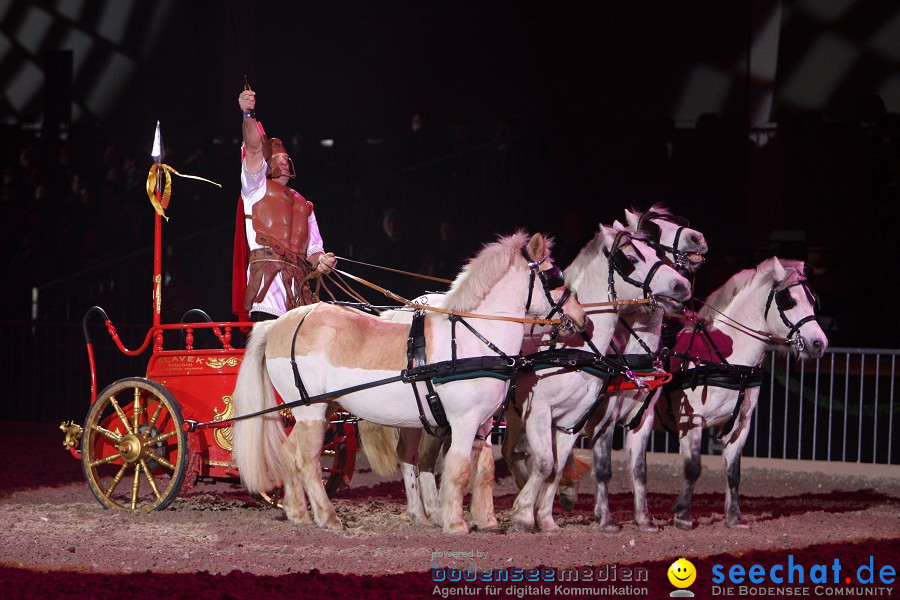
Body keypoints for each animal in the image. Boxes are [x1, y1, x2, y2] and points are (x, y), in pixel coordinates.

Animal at [229, 231, 588, 536]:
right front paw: (455, 524)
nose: (583, 319)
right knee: (307, 461)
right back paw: (328, 518)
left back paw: (298, 513)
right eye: (554, 275)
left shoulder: (484, 423)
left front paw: (486, 521)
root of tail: (281, 323)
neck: (471, 339)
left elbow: (483, 470)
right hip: (311, 410)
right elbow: (458, 469)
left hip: (318, 410)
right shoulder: (462, 421)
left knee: (289, 454)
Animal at [502, 223, 692, 532]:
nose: (682, 286)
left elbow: (635, 469)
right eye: (632, 258)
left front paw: (644, 519)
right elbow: (582, 466)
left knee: (511, 452)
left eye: (658, 253)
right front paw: (605, 519)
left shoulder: (621, 417)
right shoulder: (587, 415)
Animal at [652, 258, 828, 528]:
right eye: (790, 301)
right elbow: (693, 468)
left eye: (812, 301)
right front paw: (682, 515)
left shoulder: (741, 425)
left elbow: (733, 471)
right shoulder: (691, 422)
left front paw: (734, 516)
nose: (820, 343)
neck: (727, 361)